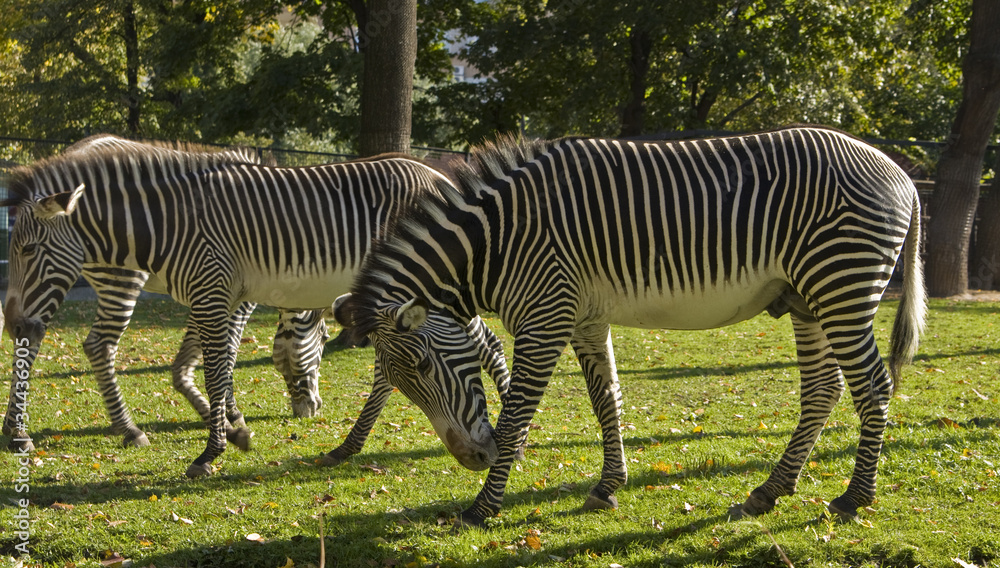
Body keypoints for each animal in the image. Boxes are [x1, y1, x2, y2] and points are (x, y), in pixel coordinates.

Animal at [1, 142, 511, 477]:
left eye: (25, 250)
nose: (12, 322)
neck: (172, 224)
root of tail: (440, 176)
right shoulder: (216, 294)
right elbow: (216, 364)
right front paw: (232, 430)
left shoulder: (216, 291)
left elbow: (215, 369)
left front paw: (213, 450)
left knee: (479, 340)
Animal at [332, 126, 926, 526]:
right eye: (401, 385)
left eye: (424, 366)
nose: (474, 461)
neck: (497, 241)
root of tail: (901, 174)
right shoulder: (583, 317)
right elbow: (607, 399)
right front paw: (607, 487)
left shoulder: (545, 318)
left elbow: (517, 413)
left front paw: (482, 507)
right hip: (808, 299)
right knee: (824, 390)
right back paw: (769, 491)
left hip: (841, 284)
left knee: (874, 386)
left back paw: (854, 497)